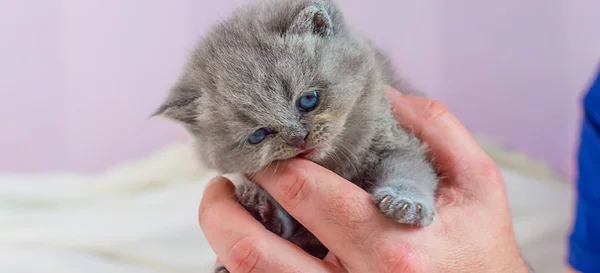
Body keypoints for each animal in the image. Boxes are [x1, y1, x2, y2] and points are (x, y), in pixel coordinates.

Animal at [152, 0, 438, 270]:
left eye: (308, 100)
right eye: (259, 134)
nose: (298, 137)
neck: (331, 163)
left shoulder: (395, 139)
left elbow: (410, 167)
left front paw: (406, 202)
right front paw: (260, 207)